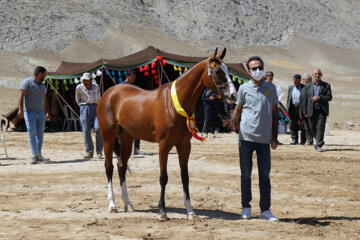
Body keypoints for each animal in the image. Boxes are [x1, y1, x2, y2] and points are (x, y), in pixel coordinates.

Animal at [97, 47, 235, 221]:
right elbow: (163, 177)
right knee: (109, 167)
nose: (233, 96)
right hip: (108, 137)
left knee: (121, 166)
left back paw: (127, 203)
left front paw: (190, 211)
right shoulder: (164, 145)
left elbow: (185, 176)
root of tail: (109, 93)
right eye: (217, 70)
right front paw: (162, 211)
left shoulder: (184, 145)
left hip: (127, 138)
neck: (174, 104)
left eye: (228, 70)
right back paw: (113, 205)